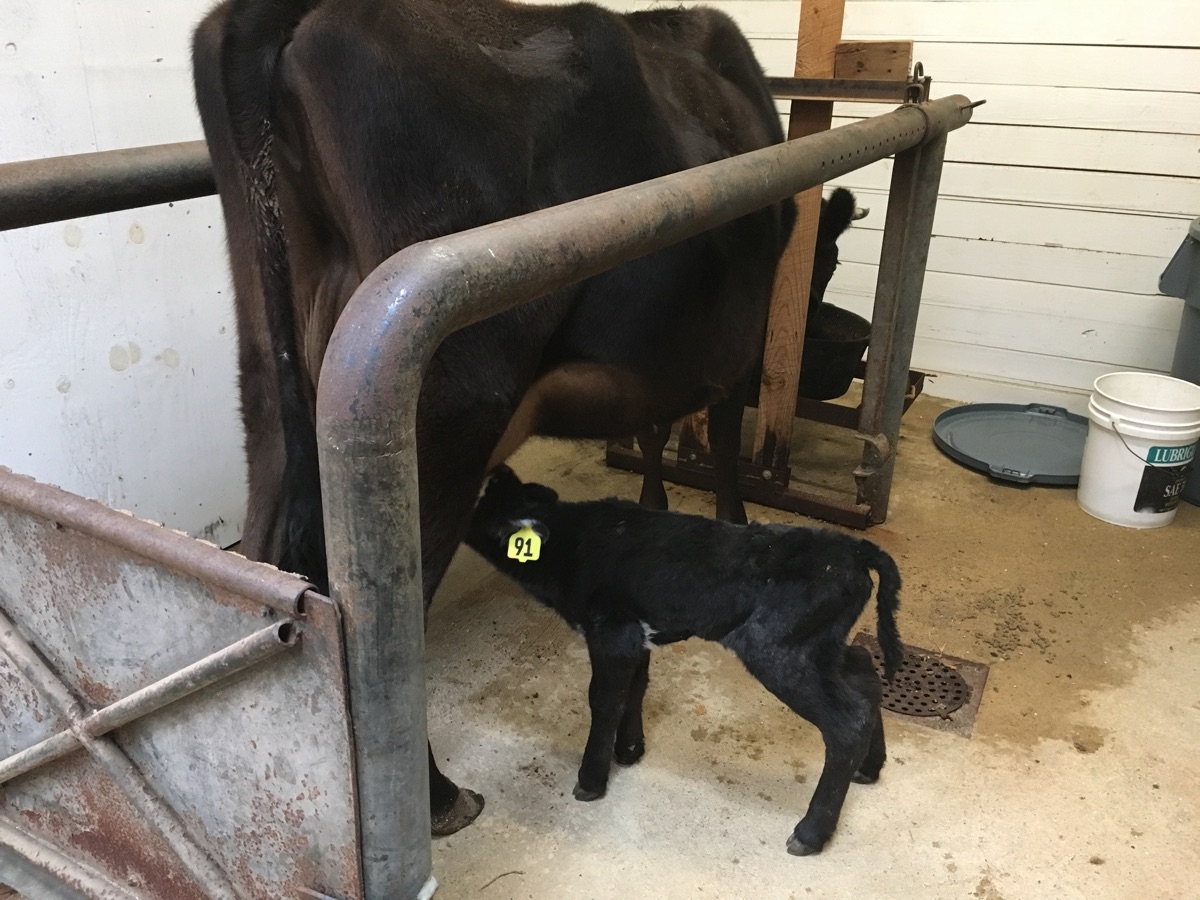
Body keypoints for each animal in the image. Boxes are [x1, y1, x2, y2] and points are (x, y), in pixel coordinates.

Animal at [194, 0, 796, 830]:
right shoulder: (738, 333)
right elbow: (725, 432)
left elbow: (655, 430)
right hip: (444, 407)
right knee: (389, 621)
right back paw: (441, 799)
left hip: (271, 374)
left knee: (257, 557)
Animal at [463, 468, 902, 854]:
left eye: (478, 502)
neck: (570, 543)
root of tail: (852, 548)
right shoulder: (636, 637)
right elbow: (635, 688)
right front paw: (629, 750)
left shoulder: (611, 632)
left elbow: (604, 699)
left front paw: (591, 780)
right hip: (820, 646)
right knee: (864, 673)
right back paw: (870, 766)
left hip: (778, 648)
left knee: (848, 720)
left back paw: (810, 833)